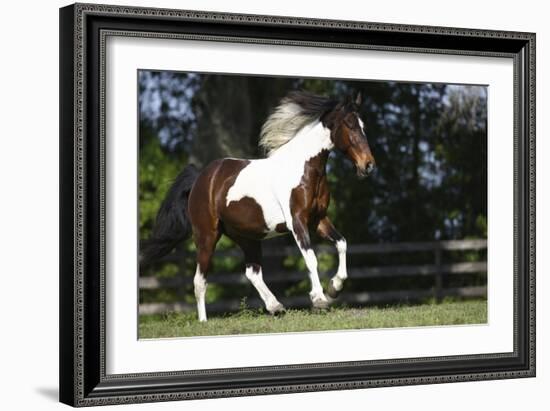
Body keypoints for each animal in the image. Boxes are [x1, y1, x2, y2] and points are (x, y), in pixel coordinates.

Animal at [140, 90, 378, 322]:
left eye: (363, 126)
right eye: (350, 125)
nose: (368, 165)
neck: (304, 169)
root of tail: (201, 179)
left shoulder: (318, 219)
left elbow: (342, 243)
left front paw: (335, 287)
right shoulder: (297, 221)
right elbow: (311, 258)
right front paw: (319, 299)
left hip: (247, 237)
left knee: (252, 273)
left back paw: (276, 306)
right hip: (207, 236)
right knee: (200, 281)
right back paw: (204, 322)